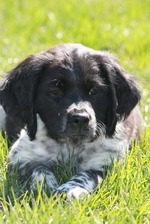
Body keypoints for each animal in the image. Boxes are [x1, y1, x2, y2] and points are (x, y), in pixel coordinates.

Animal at [0, 43, 144, 200]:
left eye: (94, 91)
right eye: (55, 92)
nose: (80, 119)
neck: (70, 146)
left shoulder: (108, 161)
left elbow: (87, 174)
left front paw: (69, 190)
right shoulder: (19, 156)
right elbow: (38, 168)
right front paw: (45, 186)